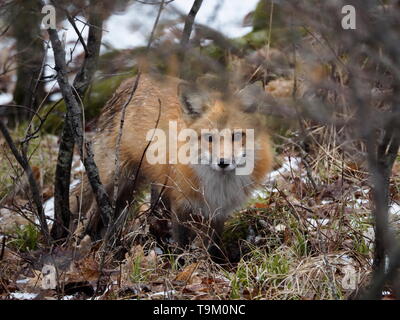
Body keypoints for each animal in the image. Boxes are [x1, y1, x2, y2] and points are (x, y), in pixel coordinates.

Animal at [70, 74, 274, 260]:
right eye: (209, 137)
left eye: (236, 136)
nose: (223, 162)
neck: (218, 185)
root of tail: (129, 81)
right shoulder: (181, 203)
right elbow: (182, 243)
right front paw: (183, 267)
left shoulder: (218, 212)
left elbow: (212, 245)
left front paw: (212, 265)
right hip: (111, 182)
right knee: (88, 218)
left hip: (135, 190)